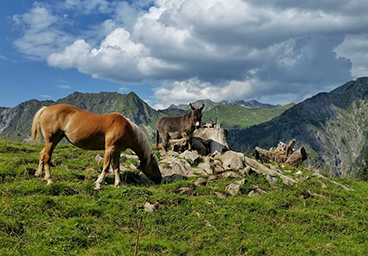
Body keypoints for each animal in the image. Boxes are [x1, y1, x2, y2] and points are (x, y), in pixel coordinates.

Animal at [32, 103, 162, 189]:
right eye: (154, 165)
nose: (160, 179)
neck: (127, 128)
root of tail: (46, 109)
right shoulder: (110, 148)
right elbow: (106, 166)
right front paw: (98, 183)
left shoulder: (117, 151)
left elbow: (116, 167)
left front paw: (118, 184)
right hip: (51, 140)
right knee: (47, 157)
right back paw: (49, 179)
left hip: (55, 139)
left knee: (42, 154)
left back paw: (39, 174)